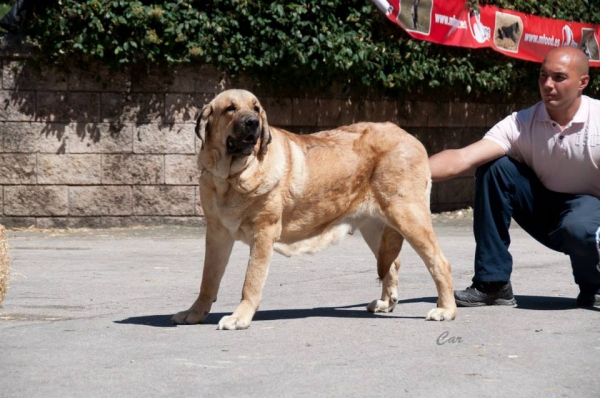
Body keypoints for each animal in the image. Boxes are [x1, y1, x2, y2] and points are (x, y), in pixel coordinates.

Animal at [171, 90, 458, 330]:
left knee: (439, 262)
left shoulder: (263, 235)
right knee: (391, 263)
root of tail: (410, 137)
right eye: (230, 109)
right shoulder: (217, 234)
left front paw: (239, 318)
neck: (231, 178)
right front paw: (194, 313)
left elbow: (250, 281)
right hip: (374, 227)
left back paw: (445, 309)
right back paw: (386, 303)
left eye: (256, 108)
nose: (253, 122)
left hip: (408, 216)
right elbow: (208, 279)